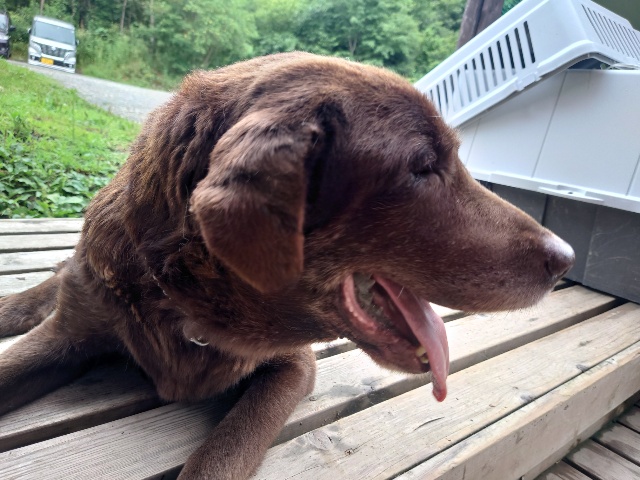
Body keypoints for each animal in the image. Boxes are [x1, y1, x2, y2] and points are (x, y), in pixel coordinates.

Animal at [0, 52, 574, 479]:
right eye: (422, 167)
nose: (565, 258)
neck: (186, 304)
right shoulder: (75, 328)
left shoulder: (292, 365)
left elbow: (221, 456)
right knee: (60, 276)